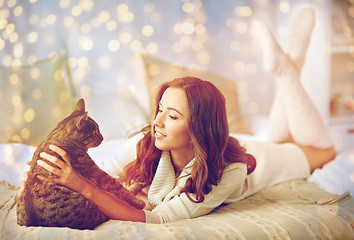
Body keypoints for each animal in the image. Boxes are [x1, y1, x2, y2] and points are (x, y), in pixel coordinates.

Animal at [15, 98, 146, 230]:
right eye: (94, 132)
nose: (103, 138)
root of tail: (38, 224)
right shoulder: (94, 171)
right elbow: (119, 187)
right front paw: (138, 202)